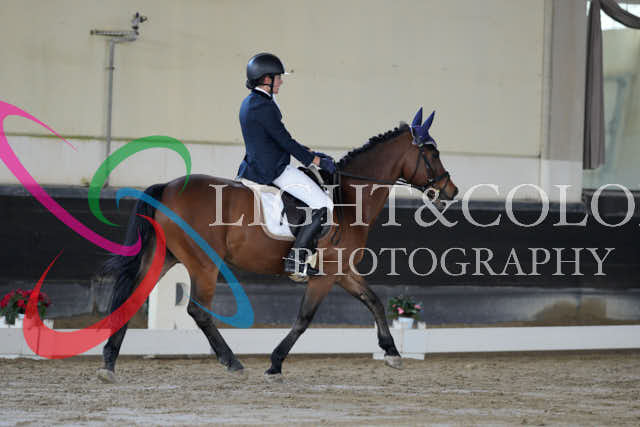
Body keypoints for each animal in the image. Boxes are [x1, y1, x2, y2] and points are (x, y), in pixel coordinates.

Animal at [97, 113, 458, 383]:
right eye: (433, 154)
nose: (451, 191)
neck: (348, 200)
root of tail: (167, 189)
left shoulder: (341, 271)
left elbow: (374, 301)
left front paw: (393, 353)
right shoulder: (325, 275)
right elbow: (304, 318)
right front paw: (275, 364)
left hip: (165, 257)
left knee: (132, 299)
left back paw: (108, 365)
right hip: (204, 263)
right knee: (198, 310)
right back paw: (232, 362)